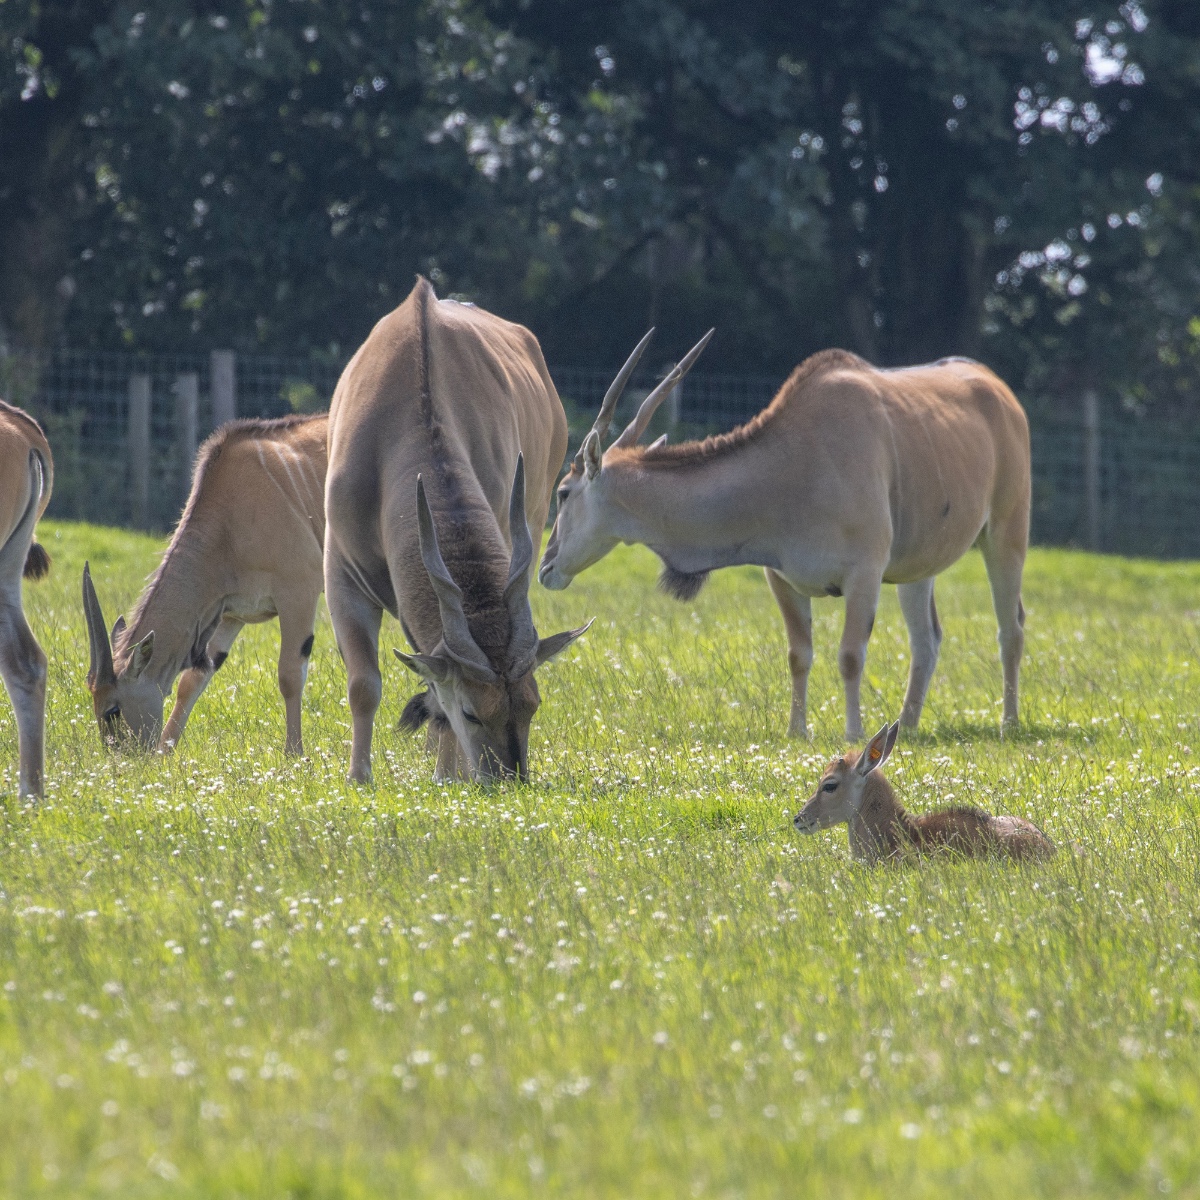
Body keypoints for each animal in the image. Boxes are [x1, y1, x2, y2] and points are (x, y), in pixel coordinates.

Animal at [81, 412, 326, 748]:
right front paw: (165, 750)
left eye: (112, 710)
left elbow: (290, 675)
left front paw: (294, 753)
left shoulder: (299, 594)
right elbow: (192, 681)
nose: (120, 757)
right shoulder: (230, 613)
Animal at [324, 280, 585, 787]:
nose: (509, 781)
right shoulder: (340, 569)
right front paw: (359, 777)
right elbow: (364, 683)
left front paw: (447, 776)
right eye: (471, 712)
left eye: (532, 706)